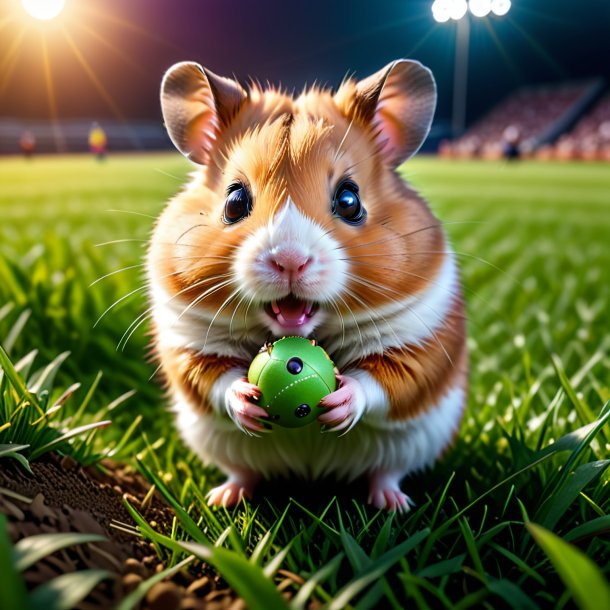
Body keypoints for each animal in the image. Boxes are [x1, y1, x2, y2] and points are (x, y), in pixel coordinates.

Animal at [146, 59, 466, 510]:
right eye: (234, 202)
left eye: (350, 200)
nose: (290, 260)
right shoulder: (190, 343)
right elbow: (214, 379)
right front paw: (246, 399)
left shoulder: (417, 342)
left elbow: (383, 381)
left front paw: (340, 401)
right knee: (242, 470)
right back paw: (223, 497)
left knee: (386, 471)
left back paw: (393, 504)